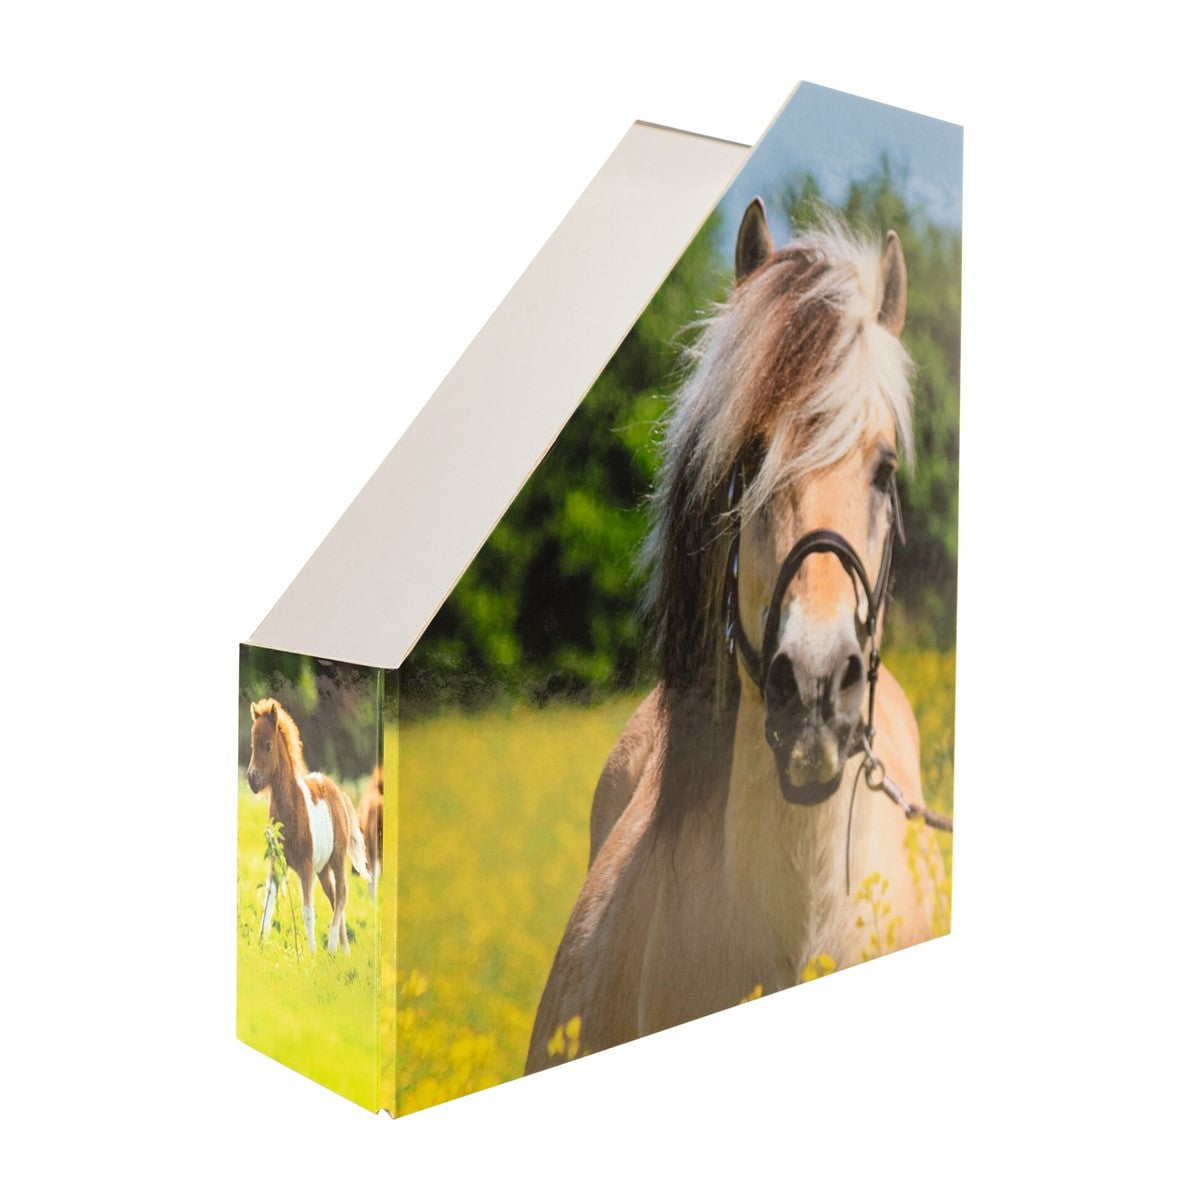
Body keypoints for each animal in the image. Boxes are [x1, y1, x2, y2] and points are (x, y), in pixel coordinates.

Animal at [246, 698, 370, 953]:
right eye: (253, 745)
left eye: (268, 745)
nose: (252, 780)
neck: (292, 810)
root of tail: (339, 793)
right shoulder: (276, 861)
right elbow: (268, 902)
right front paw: (261, 944)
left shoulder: (305, 867)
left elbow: (307, 911)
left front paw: (311, 953)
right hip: (322, 870)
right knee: (334, 898)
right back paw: (344, 951)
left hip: (337, 860)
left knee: (342, 893)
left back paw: (332, 946)